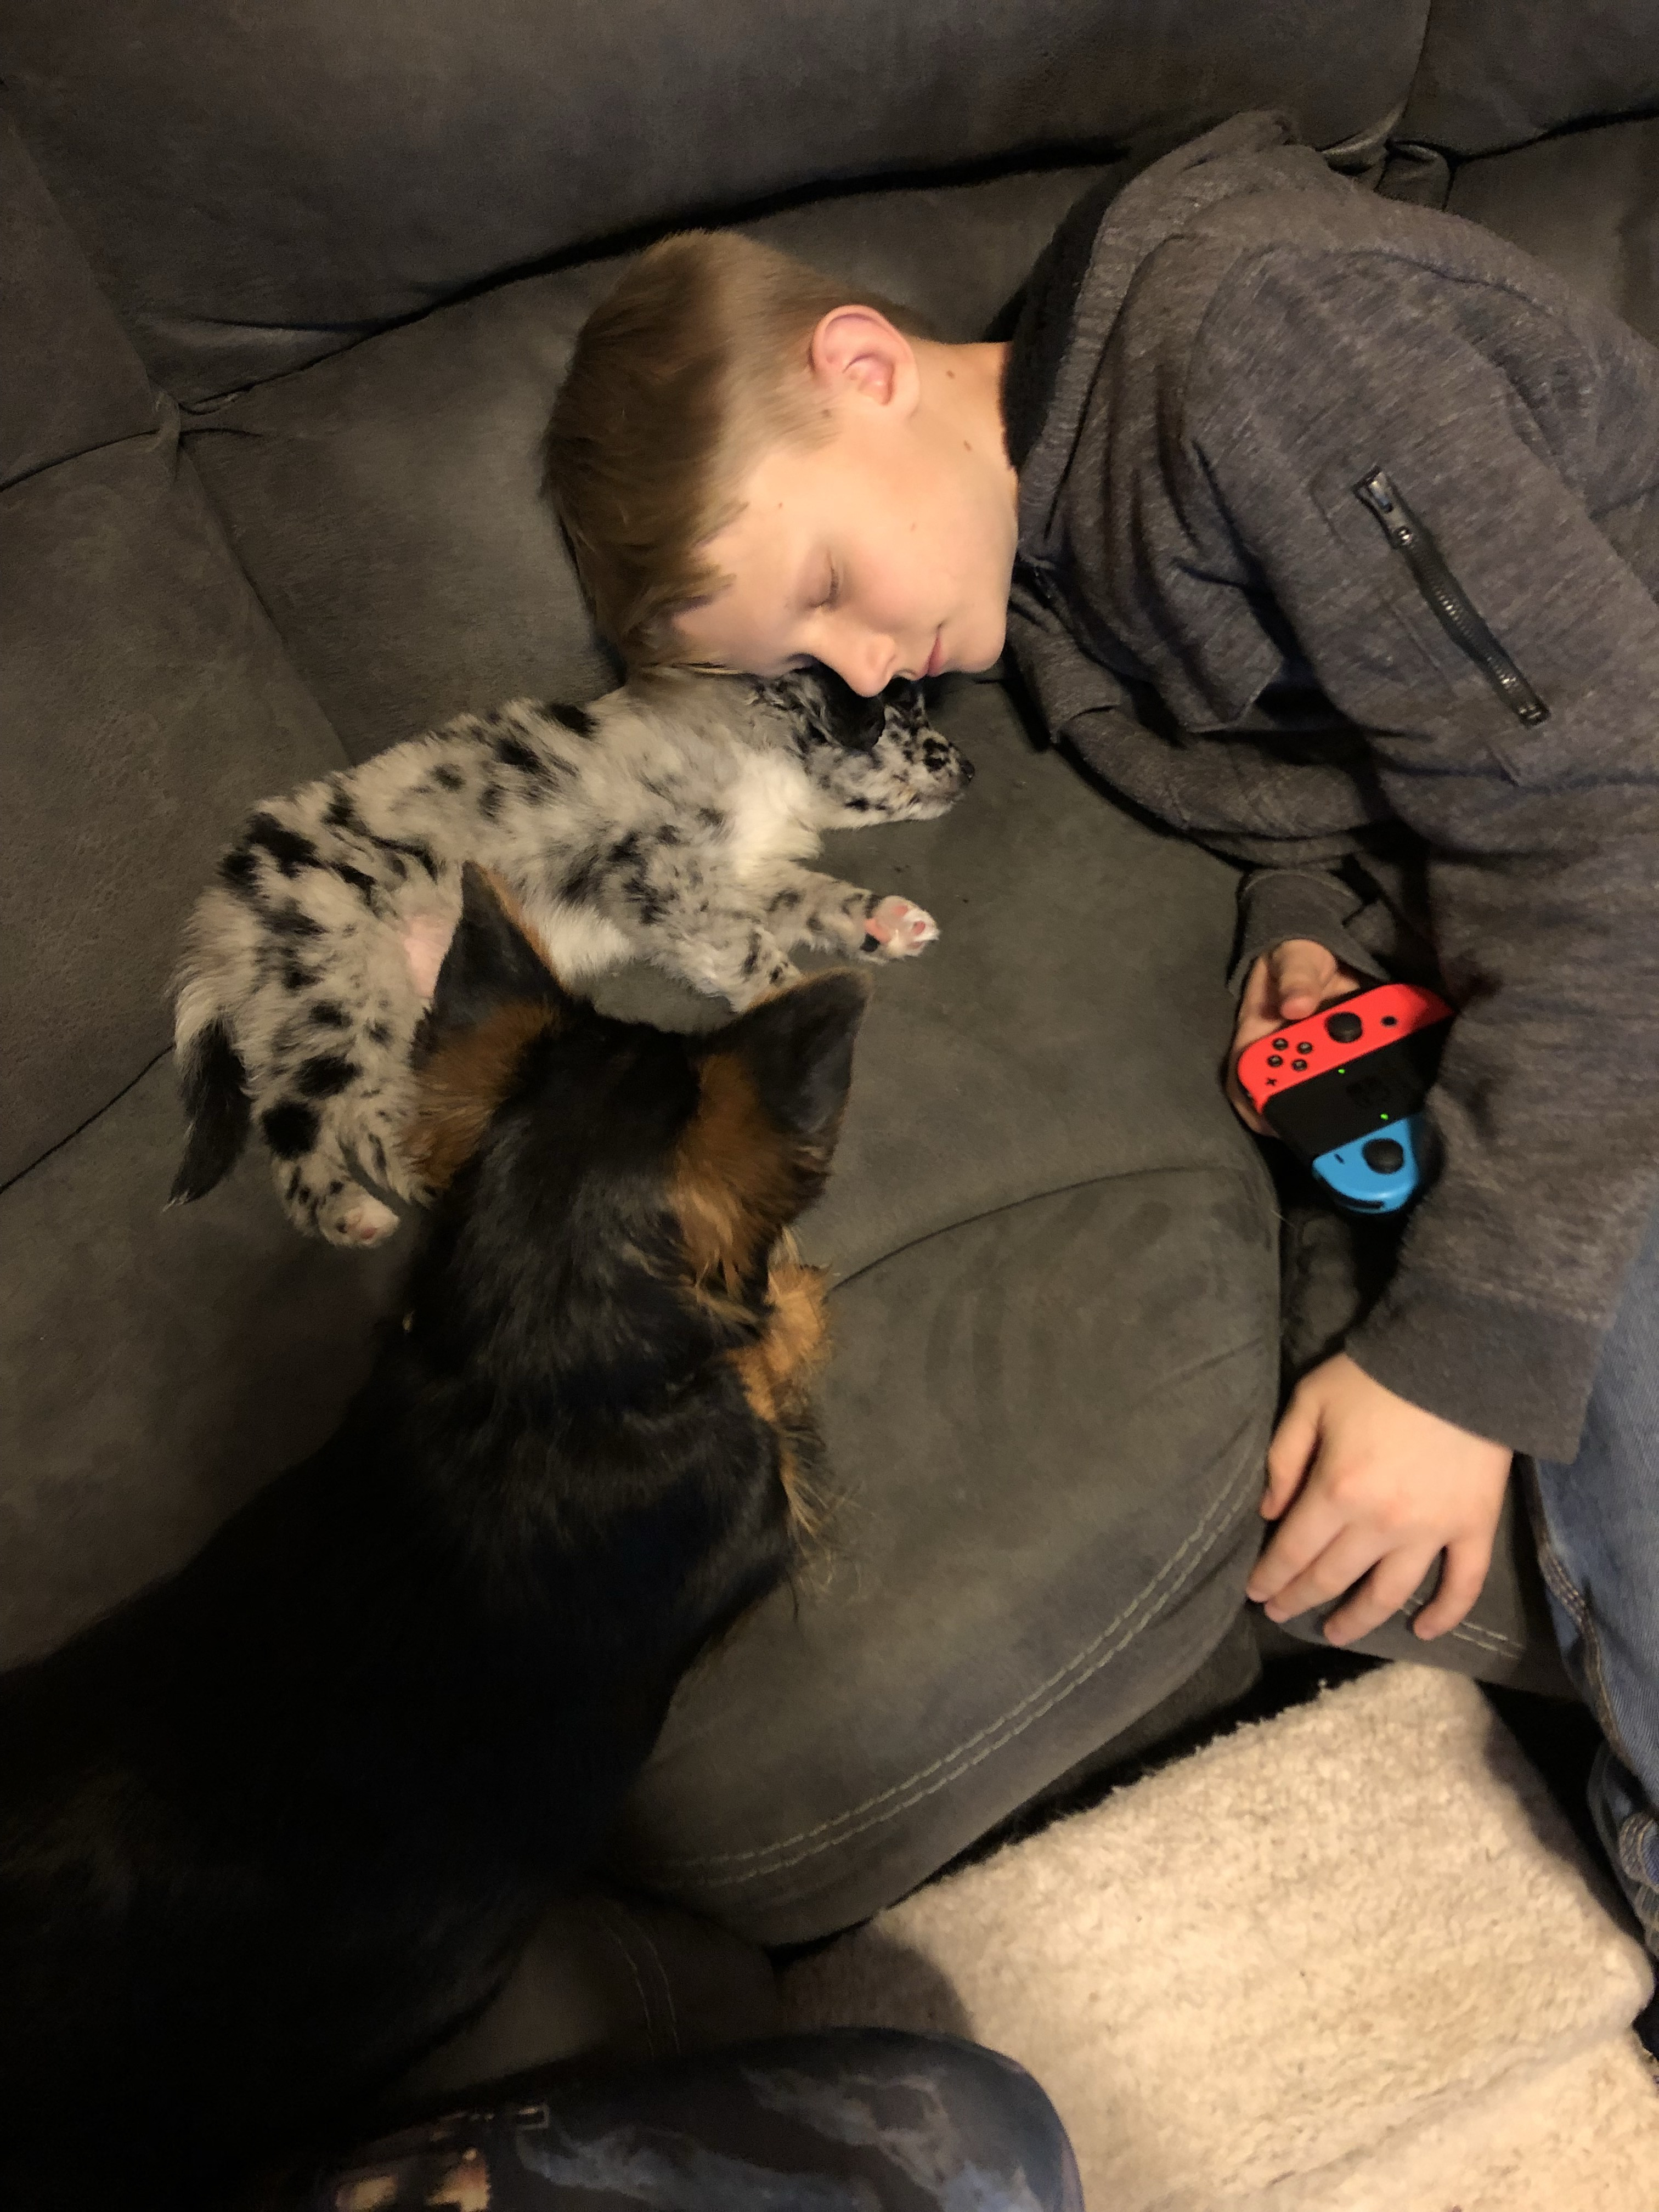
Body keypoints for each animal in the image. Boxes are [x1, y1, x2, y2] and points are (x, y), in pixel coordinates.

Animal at [171, 666, 969, 1246]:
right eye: (907, 717)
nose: (972, 768)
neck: (768, 764)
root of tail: (218, 919)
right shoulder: (652, 867)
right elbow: (748, 950)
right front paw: (789, 1007)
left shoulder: (744, 871)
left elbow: (816, 898)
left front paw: (887, 923)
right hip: (334, 991)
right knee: (298, 1123)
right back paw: (351, 1213)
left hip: (384, 1007)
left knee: (363, 1113)